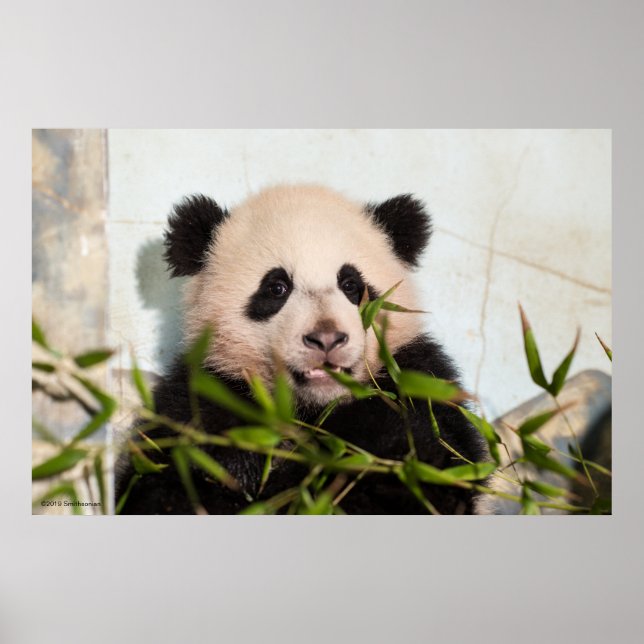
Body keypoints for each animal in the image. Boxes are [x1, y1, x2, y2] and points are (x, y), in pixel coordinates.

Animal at [115, 184, 488, 514]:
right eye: (277, 288)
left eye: (351, 285)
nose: (326, 339)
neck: (310, 408)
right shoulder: (204, 394)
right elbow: (164, 482)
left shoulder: (415, 378)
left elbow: (427, 463)